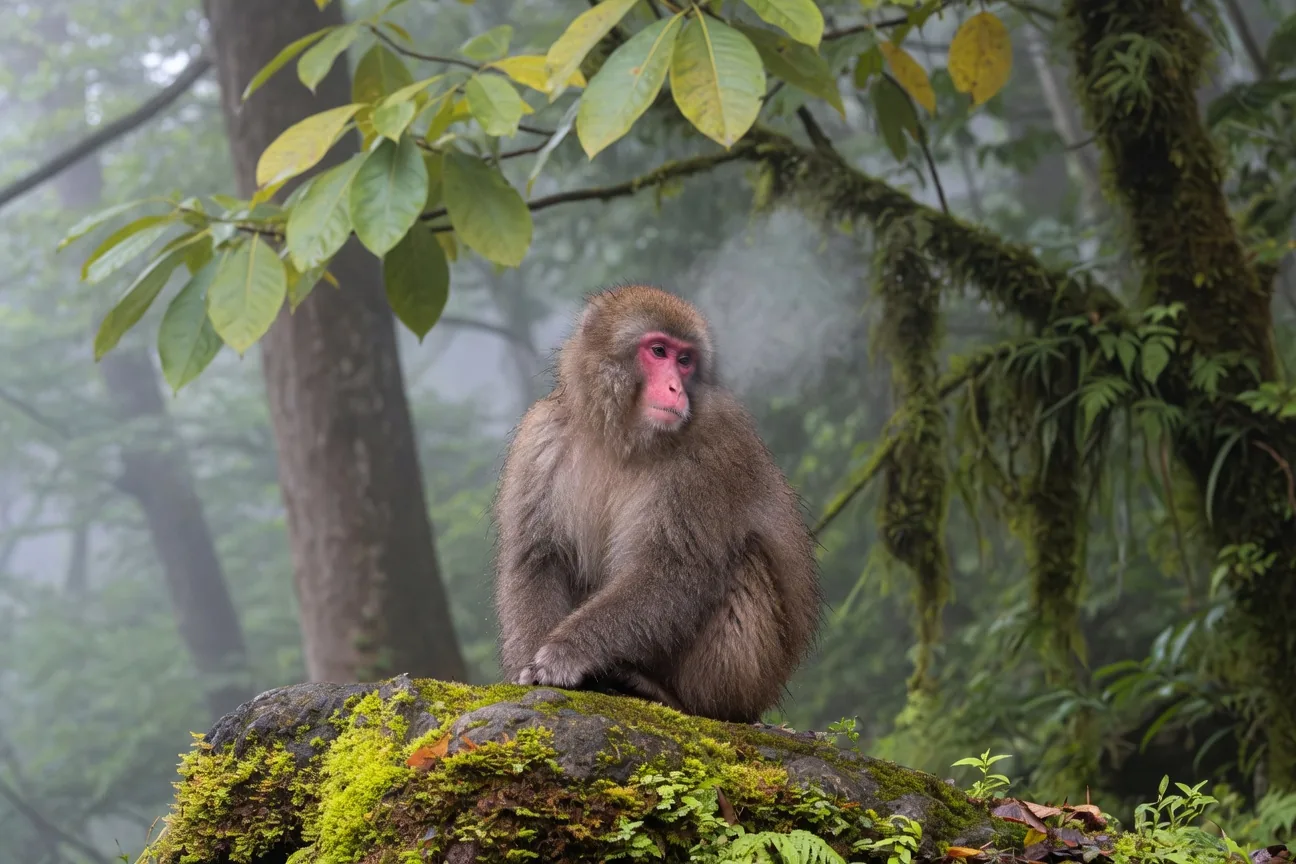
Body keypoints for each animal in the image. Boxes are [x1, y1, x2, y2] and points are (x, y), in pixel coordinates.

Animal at [491, 284, 822, 723]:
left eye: (685, 361)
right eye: (659, 351)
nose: (675, 389)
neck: (622, 438)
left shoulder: (712, 447)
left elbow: (673, 569)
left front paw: (566, 653)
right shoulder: (540, 436)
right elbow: (538, 558)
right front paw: (527, 666)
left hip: (751, 682)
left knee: (743, 563)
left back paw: (673, 697)